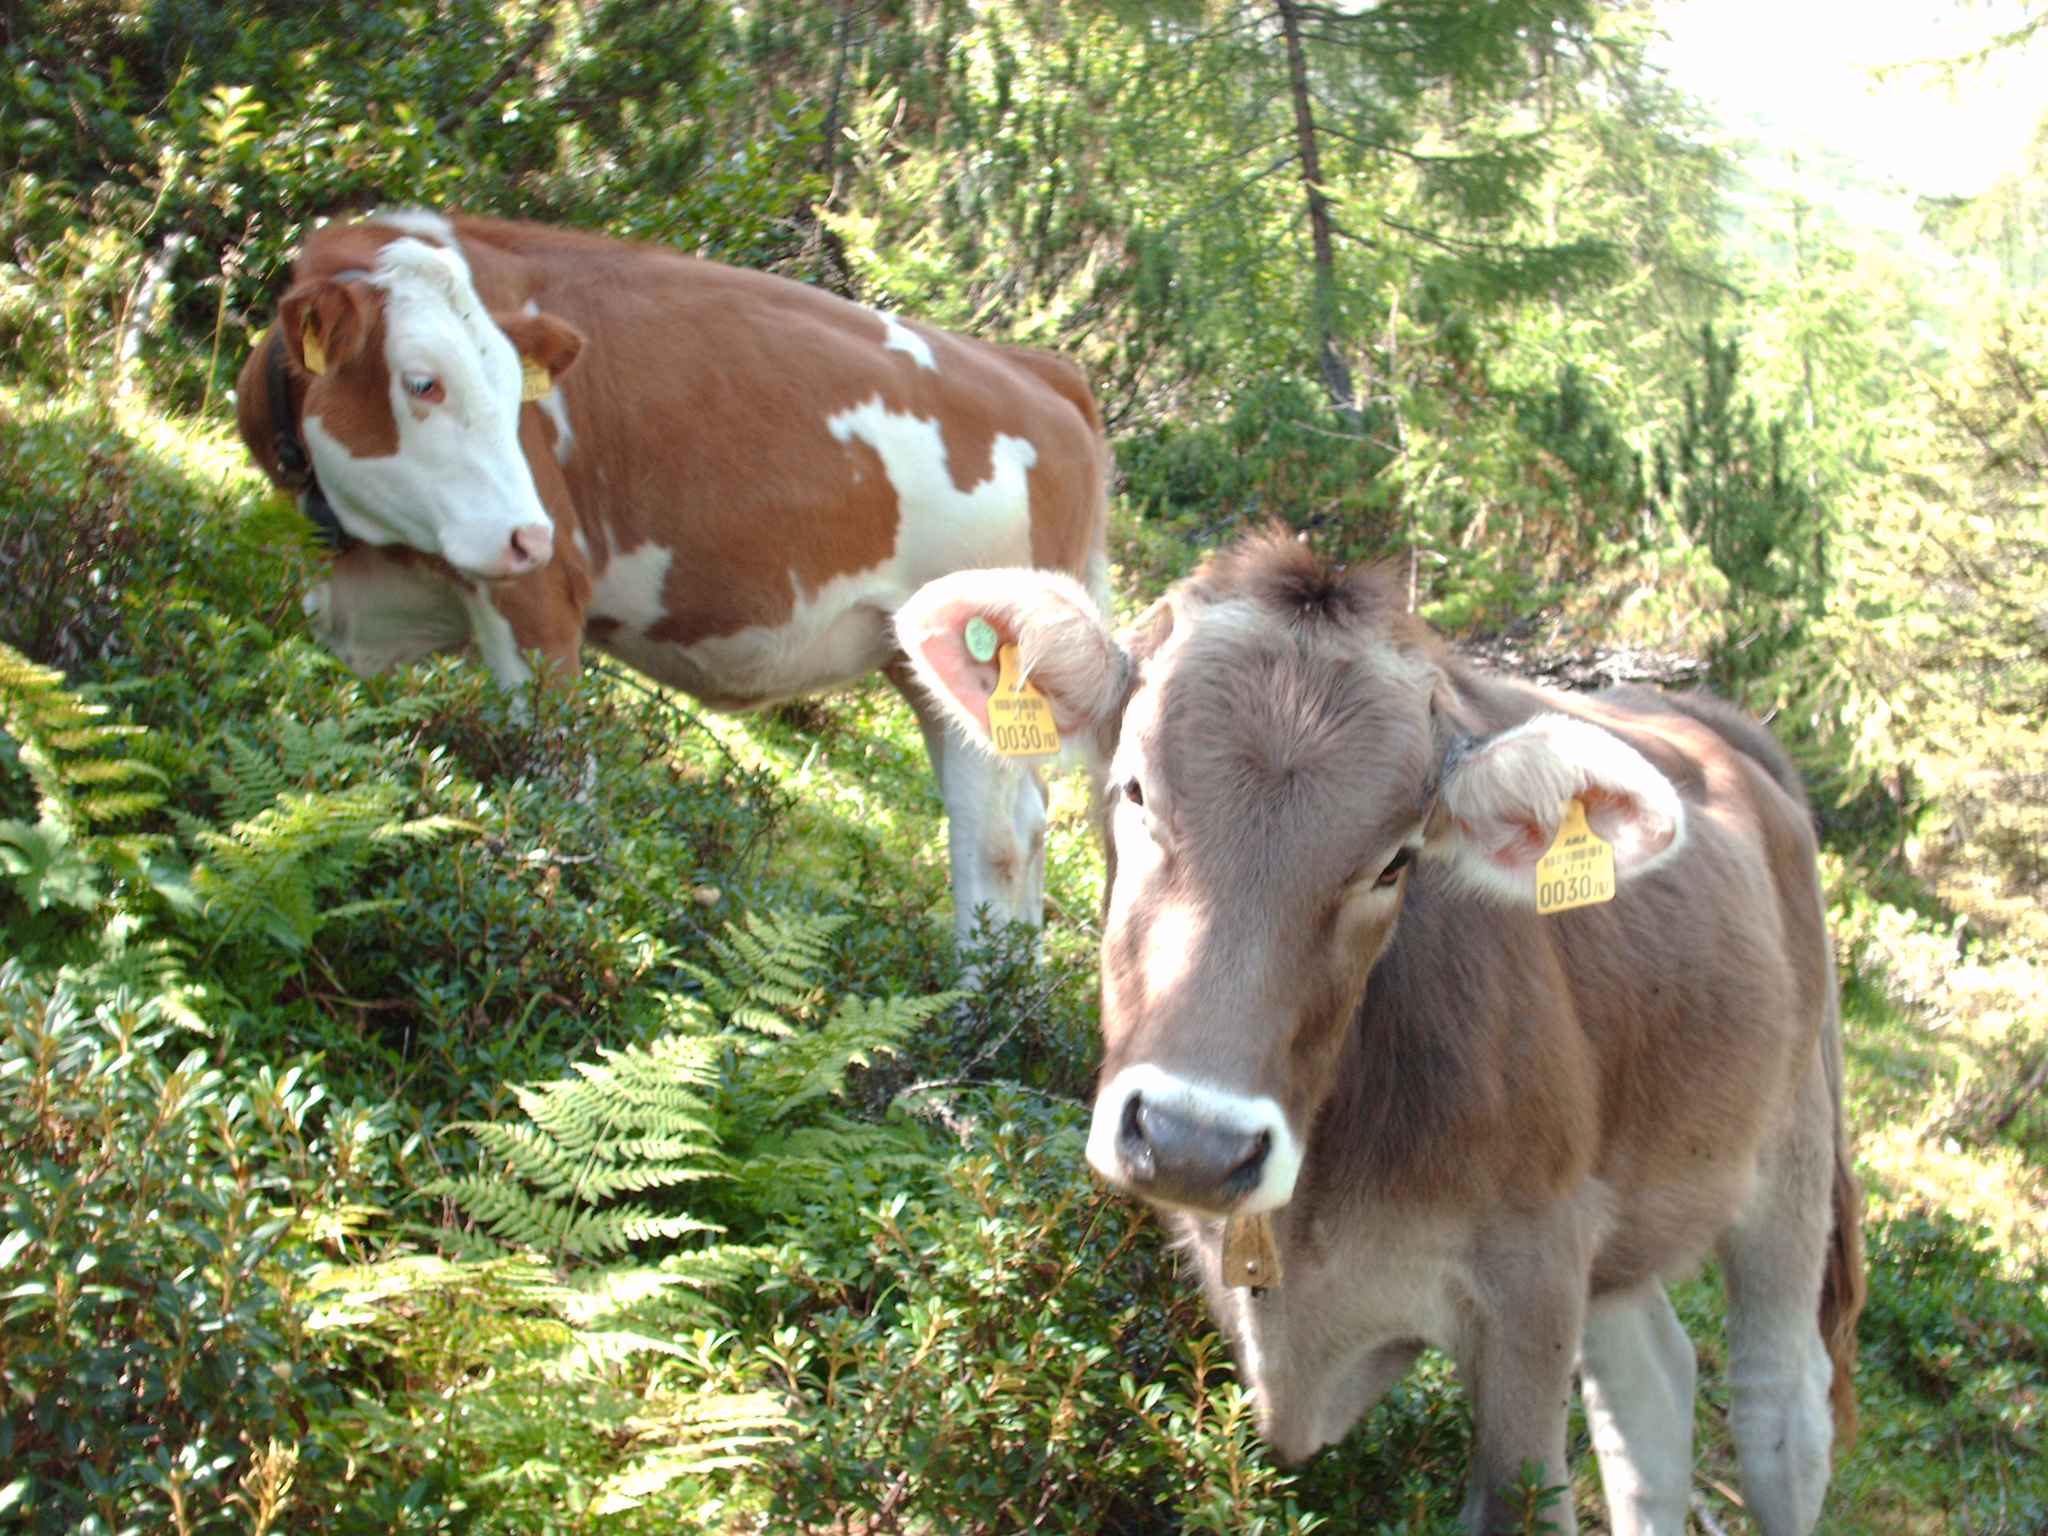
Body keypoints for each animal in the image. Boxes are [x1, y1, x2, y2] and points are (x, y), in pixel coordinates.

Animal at [233, 209, 1111, 946]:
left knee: (997, 841)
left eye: (517, 395)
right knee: (1027, 826)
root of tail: (1035, 369)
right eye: (423, 382)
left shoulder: (537, 596)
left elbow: (557, 773)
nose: (529, 536)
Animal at [895, 532, 1865, 1536]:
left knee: (1779, 1407)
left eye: (1397, 860)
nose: (1195, 1142)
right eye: (1134, 790)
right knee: (1653, 1399)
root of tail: (1711, 720)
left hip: (1789, 1155)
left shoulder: (1532, 1288)